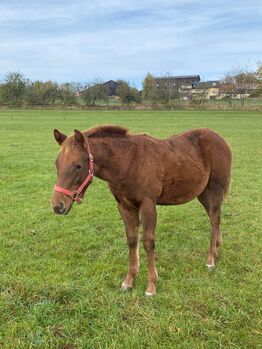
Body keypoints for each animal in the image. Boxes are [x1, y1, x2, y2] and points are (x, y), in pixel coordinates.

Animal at [51, 124, 231, 294]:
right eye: (57, 164)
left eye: (78, 165)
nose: (57, 206)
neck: (129, 162)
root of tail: (220, 139)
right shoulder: (124, 206)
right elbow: (132, 240)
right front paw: (129, 280)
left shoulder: (148, 204)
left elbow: (148, 242)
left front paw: (151, 285)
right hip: (202, 193)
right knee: (214, 217)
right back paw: (217, 249)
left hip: (215, 189)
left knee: (214, 218)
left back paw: (210, 259)